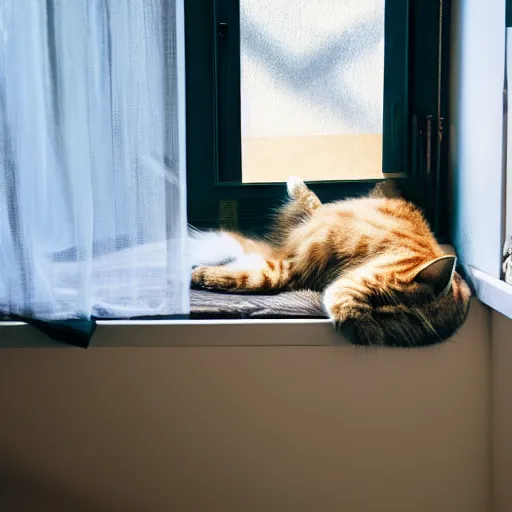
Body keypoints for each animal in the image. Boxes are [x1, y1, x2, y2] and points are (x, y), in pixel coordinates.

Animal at [191, 177, 472, 348]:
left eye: (388, 324)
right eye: (378, 296)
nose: (349, 326)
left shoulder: (289, 270)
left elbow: (257, 278)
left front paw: (201, 275)